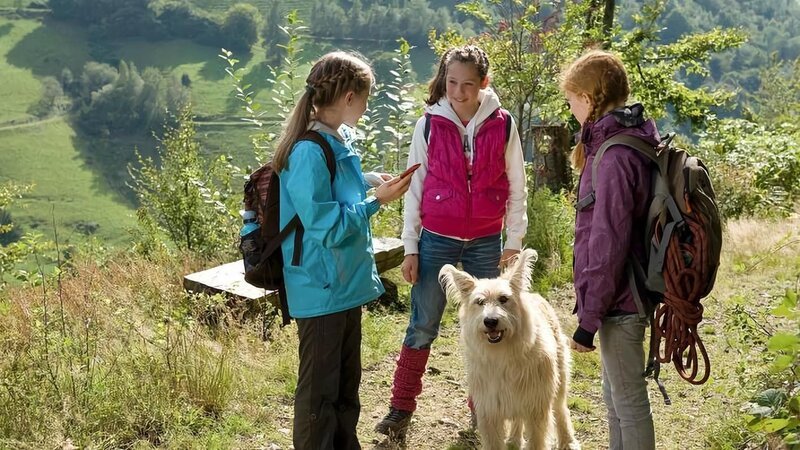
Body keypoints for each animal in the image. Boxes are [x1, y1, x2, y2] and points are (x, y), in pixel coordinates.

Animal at [440, 250, 580, 450]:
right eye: (480, 301)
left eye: (504, 299)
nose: (490, 321)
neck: (503, 353)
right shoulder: (490, 411)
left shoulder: (536, 408)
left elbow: (537, 441)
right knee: (518, 419)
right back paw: (514, 439)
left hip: (559, 380)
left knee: (561, 410)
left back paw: (568, 441)